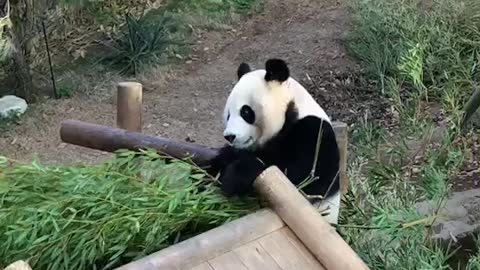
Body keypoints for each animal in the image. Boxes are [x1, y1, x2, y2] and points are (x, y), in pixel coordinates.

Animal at [207, 58, 342, 224]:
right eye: (228, 115)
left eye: (245, 112)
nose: (230, 136)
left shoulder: (314, 132)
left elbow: (304, 179)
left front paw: (232, 178)